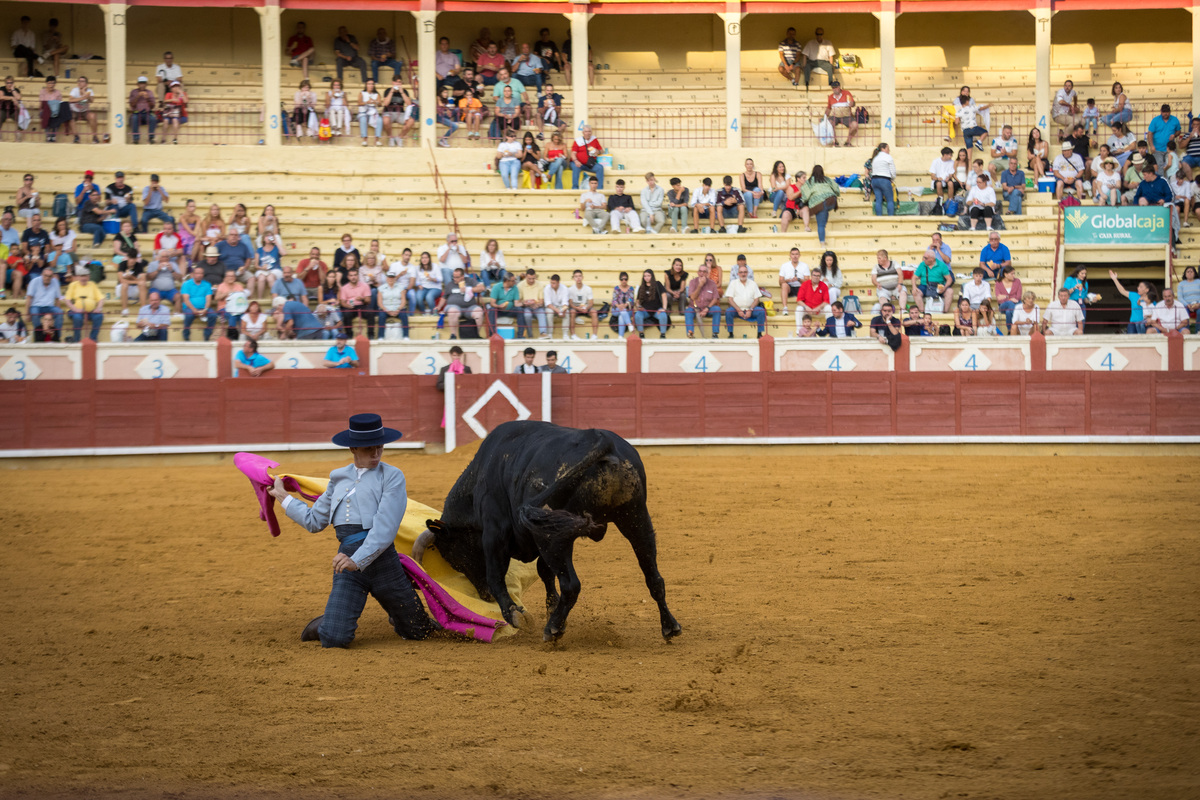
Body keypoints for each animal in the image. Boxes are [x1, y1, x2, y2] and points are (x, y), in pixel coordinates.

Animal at [415, 422, 686, 642]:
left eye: (456, 559)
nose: (484, 596)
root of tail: (601, 441)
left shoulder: (494, 532)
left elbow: (496, 575)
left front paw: (516, 615)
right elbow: (544, 571)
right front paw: (550, 608)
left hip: (553, 537)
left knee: (572, 585)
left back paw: (553, 629)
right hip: (635, 518)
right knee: (654, 577)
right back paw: (670, 627)